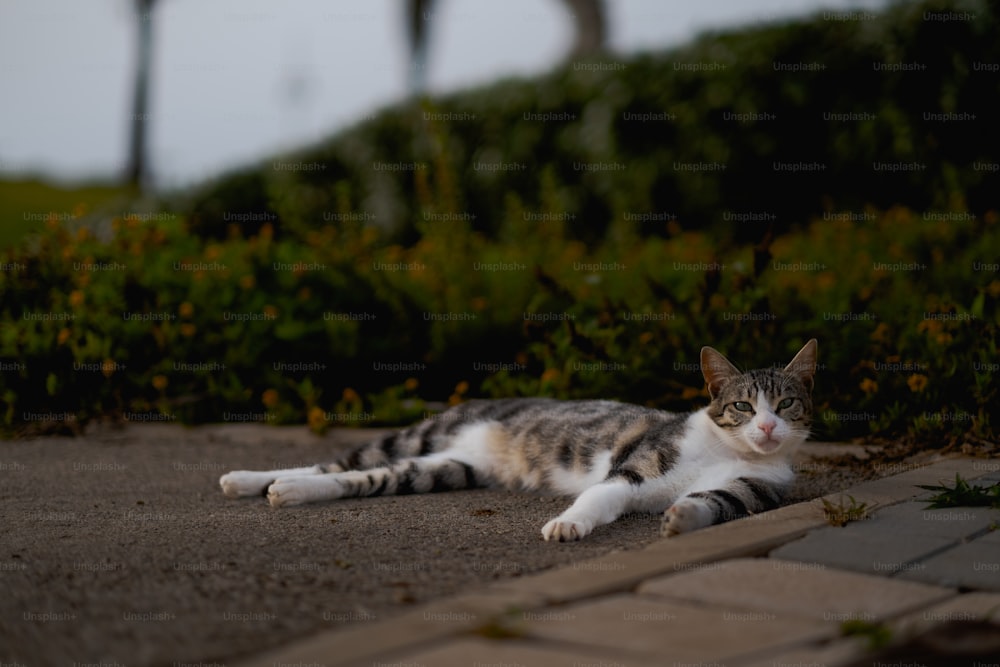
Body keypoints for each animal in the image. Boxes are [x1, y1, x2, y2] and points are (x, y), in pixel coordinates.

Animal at [221, 340, 820, 544]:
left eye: (788, 404)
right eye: (743, 406)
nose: (768, 427)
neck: (726, 451)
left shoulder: (750, 490)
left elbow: (711, 503)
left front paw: (679, 518)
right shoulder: (635, 466)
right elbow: (600, 495)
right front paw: (567, 525)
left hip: (445, 467)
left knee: (358, 479)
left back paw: (285, 491)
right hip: (420, 435)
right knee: (337, 461)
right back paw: (248, 479)